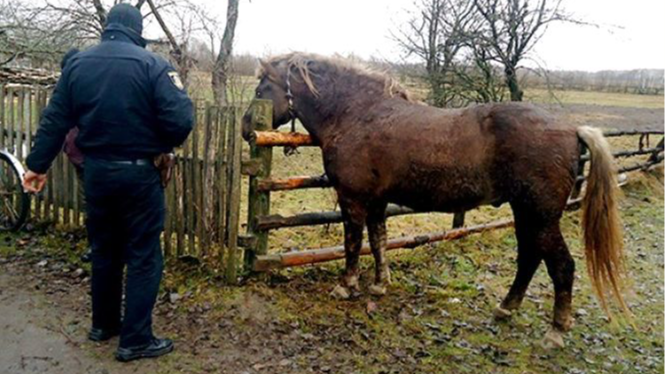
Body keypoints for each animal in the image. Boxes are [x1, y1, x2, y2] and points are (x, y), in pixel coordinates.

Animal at [243, 51, 628, 348]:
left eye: (263, 87)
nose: (247, 127)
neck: (357, 112)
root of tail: (571, 128)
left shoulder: (353, 199)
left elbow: (353, 243)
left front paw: (346, 286)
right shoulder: (377, 202)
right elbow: (379, 241)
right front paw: (380, 285)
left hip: (541, 215)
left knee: (562, 266)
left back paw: (555, 331)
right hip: (526, 214)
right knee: (529, 259)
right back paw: (506, 307)